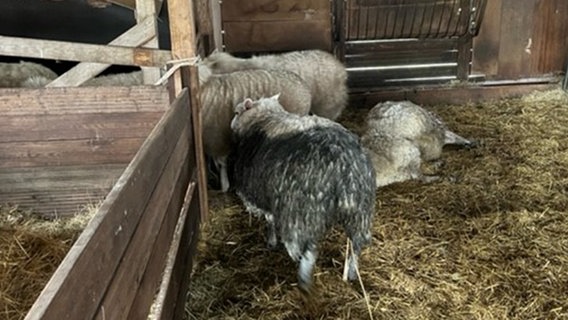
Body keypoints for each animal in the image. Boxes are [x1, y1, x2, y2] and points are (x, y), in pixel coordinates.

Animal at [231, 94, 378, 292]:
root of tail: (341, 162)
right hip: (359, 209)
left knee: (308, 250)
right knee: (356, 245)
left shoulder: (264, 194)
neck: (265, 117)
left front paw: (271, 242)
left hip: (302, 213)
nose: (231, 125)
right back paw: (353, 274)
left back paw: (304, 279)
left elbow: (270, 219)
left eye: (236, 112)